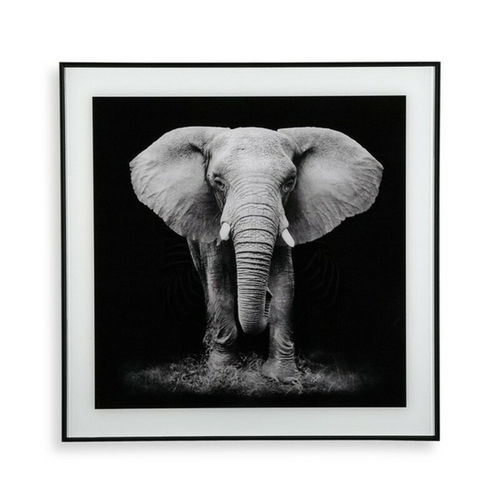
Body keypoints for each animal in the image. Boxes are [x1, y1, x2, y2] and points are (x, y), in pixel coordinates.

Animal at [130, 126, 383, 381]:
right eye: (218, 182)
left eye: (289, 182)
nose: (265, 296)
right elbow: (219, 282)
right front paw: (222, 371)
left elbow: (285, 283)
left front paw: (282, 377)